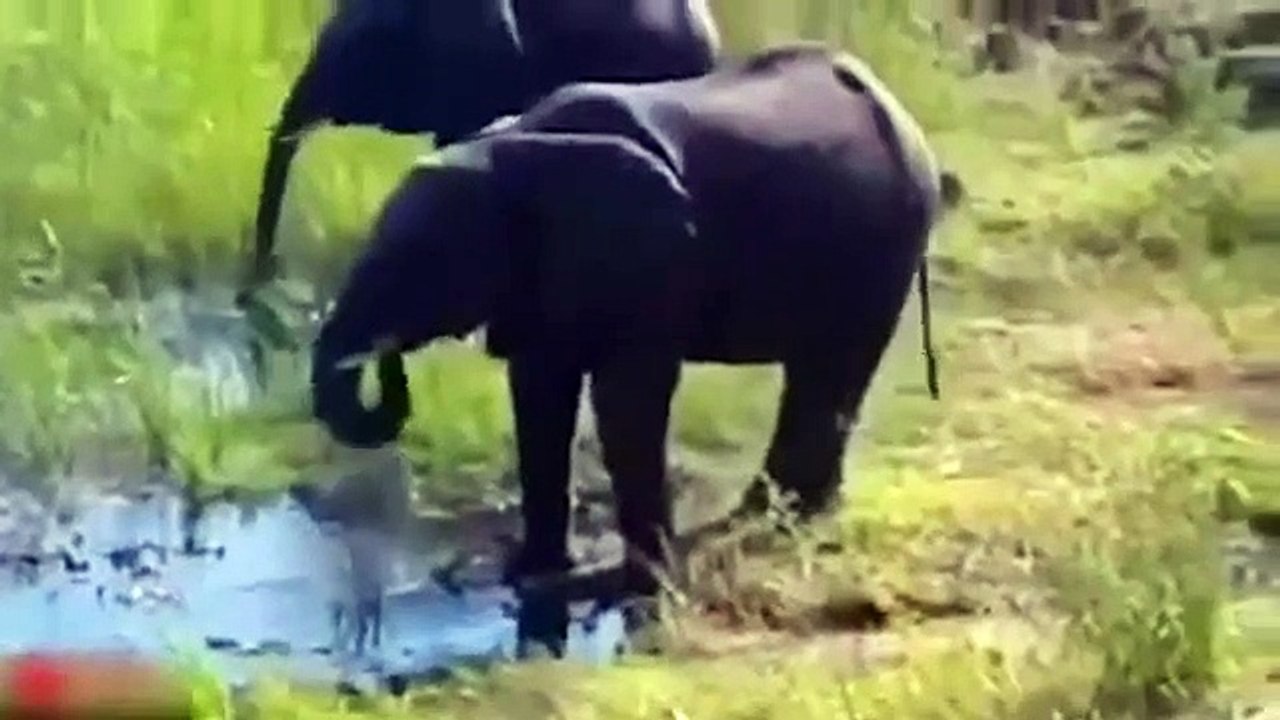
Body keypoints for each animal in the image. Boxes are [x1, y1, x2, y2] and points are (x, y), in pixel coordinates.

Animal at [309, 43, 960, 596]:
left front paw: (641, 582)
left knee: (836, 367)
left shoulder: (645, 261)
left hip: (887, 245)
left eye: (417, 264)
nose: (387, 356)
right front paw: (530, 576)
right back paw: (775, 513)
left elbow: (626, 400)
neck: (515, 149)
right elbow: (540, 392)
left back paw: (786, 518)